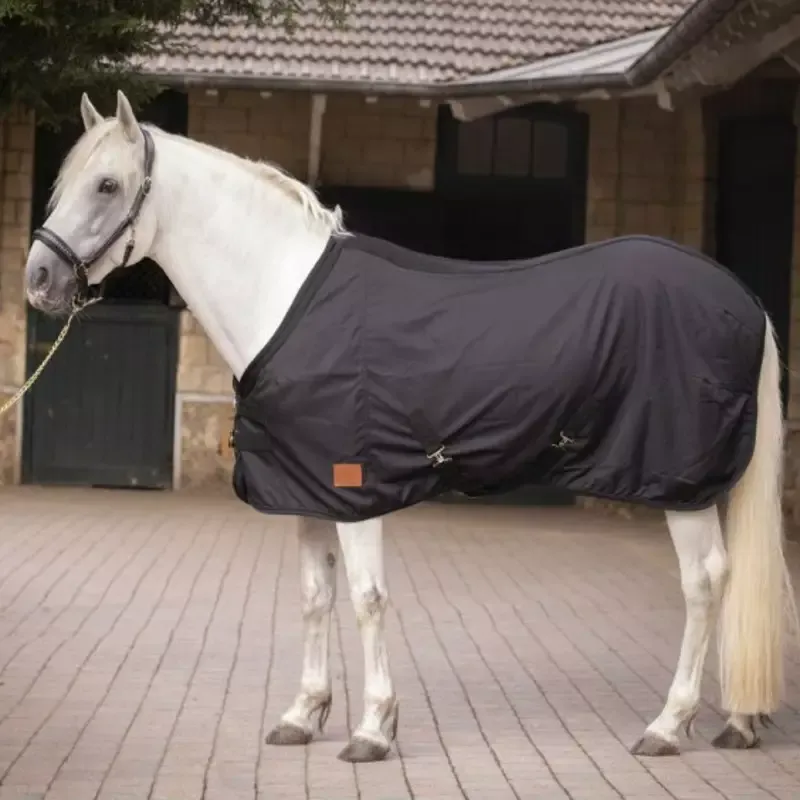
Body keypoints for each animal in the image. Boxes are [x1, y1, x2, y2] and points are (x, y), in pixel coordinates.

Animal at [24, 90, 797, 763]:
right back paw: (738, 721)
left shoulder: (355, 487)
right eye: (62, 181)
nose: (38, 280)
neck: (285, 295)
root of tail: (742, 297)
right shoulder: (308, 491)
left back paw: (669, 725)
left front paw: (372, 730)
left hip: (679, 483)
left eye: (107, 185)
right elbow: (314, 598)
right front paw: (302, 716)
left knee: (705, 581)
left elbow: (367, 601)